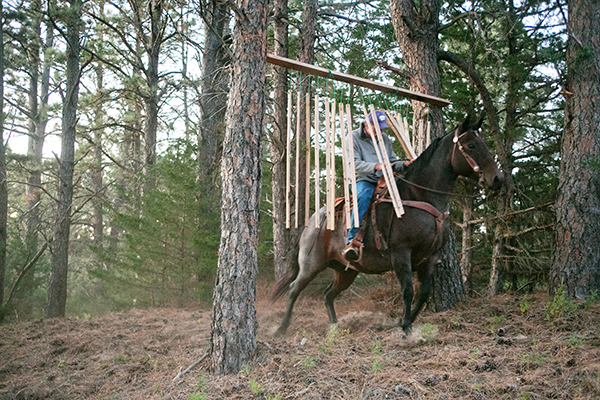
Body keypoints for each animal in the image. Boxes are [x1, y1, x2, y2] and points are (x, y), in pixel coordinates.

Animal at [274, 116, 504, 338]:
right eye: (471, 145)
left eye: (484, 143)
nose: (498, 179)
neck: (420, 196)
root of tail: (312, 221)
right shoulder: (401, 253)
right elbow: (408, 291)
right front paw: (406, 327)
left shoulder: (430, 257)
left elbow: (423, 293)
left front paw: (403, 321)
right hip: (311, 265)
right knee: (294, 289)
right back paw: (281, 328)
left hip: (346, 271)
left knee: (328, 294)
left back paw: (334, 327)